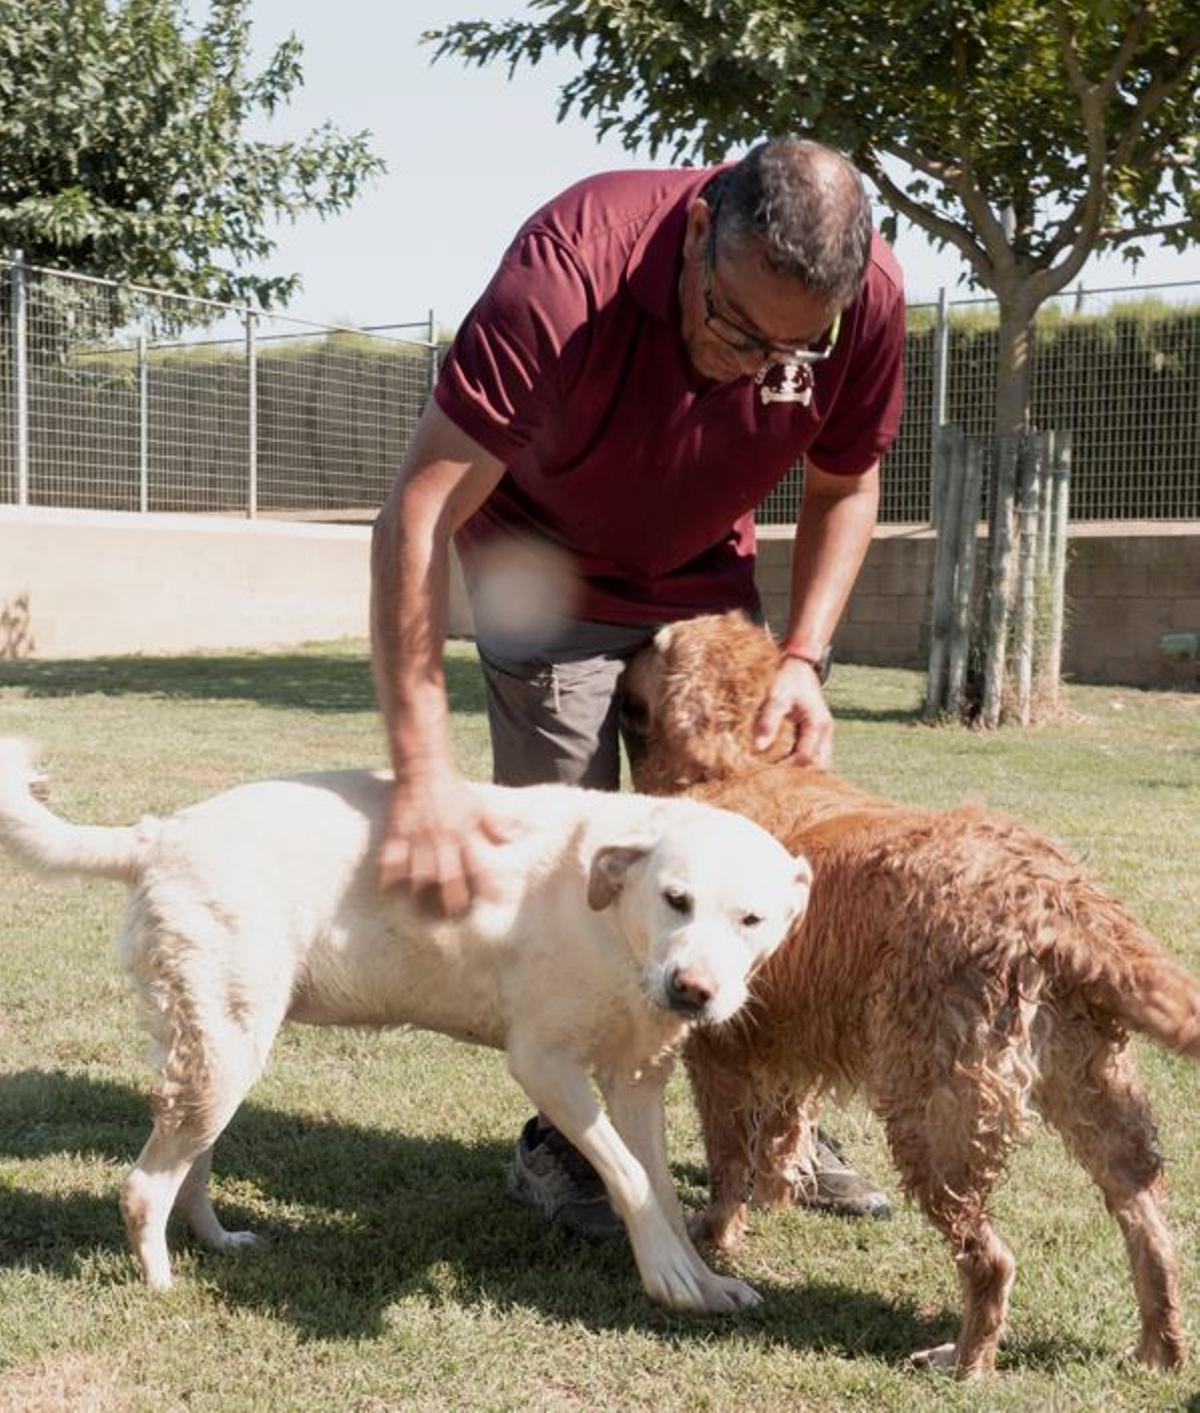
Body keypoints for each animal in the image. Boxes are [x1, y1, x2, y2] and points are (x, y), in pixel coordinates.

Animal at [0, 746, 808, 1305]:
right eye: (677, 899)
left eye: (752, 920)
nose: (693, 991)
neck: (611, 918)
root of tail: (161, 834)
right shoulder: (545, 1066)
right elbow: (629, 1175)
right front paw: (670, 1276)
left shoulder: (636, 1080)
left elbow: (661, 1187)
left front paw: (703, 1277)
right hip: (225, 1051)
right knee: (143, 1185)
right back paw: (160, 1280)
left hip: (216, 1054)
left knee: (187, 1167)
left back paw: (217, 1239)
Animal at [621, 610, 1198, 1379]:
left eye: (656, 642)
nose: (623, 638)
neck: (745, 760)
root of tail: (1053, 896)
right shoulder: (791, 1039)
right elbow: (782, 1131)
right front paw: (778, 1193)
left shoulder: (720, 1051)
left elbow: (728, 1158)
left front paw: (715, 1232)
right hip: (1097, 1090)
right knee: (1148, 1224)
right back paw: (1158, 1347)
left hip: (933, 1110)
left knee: (991, 1259)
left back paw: (965, 1358)